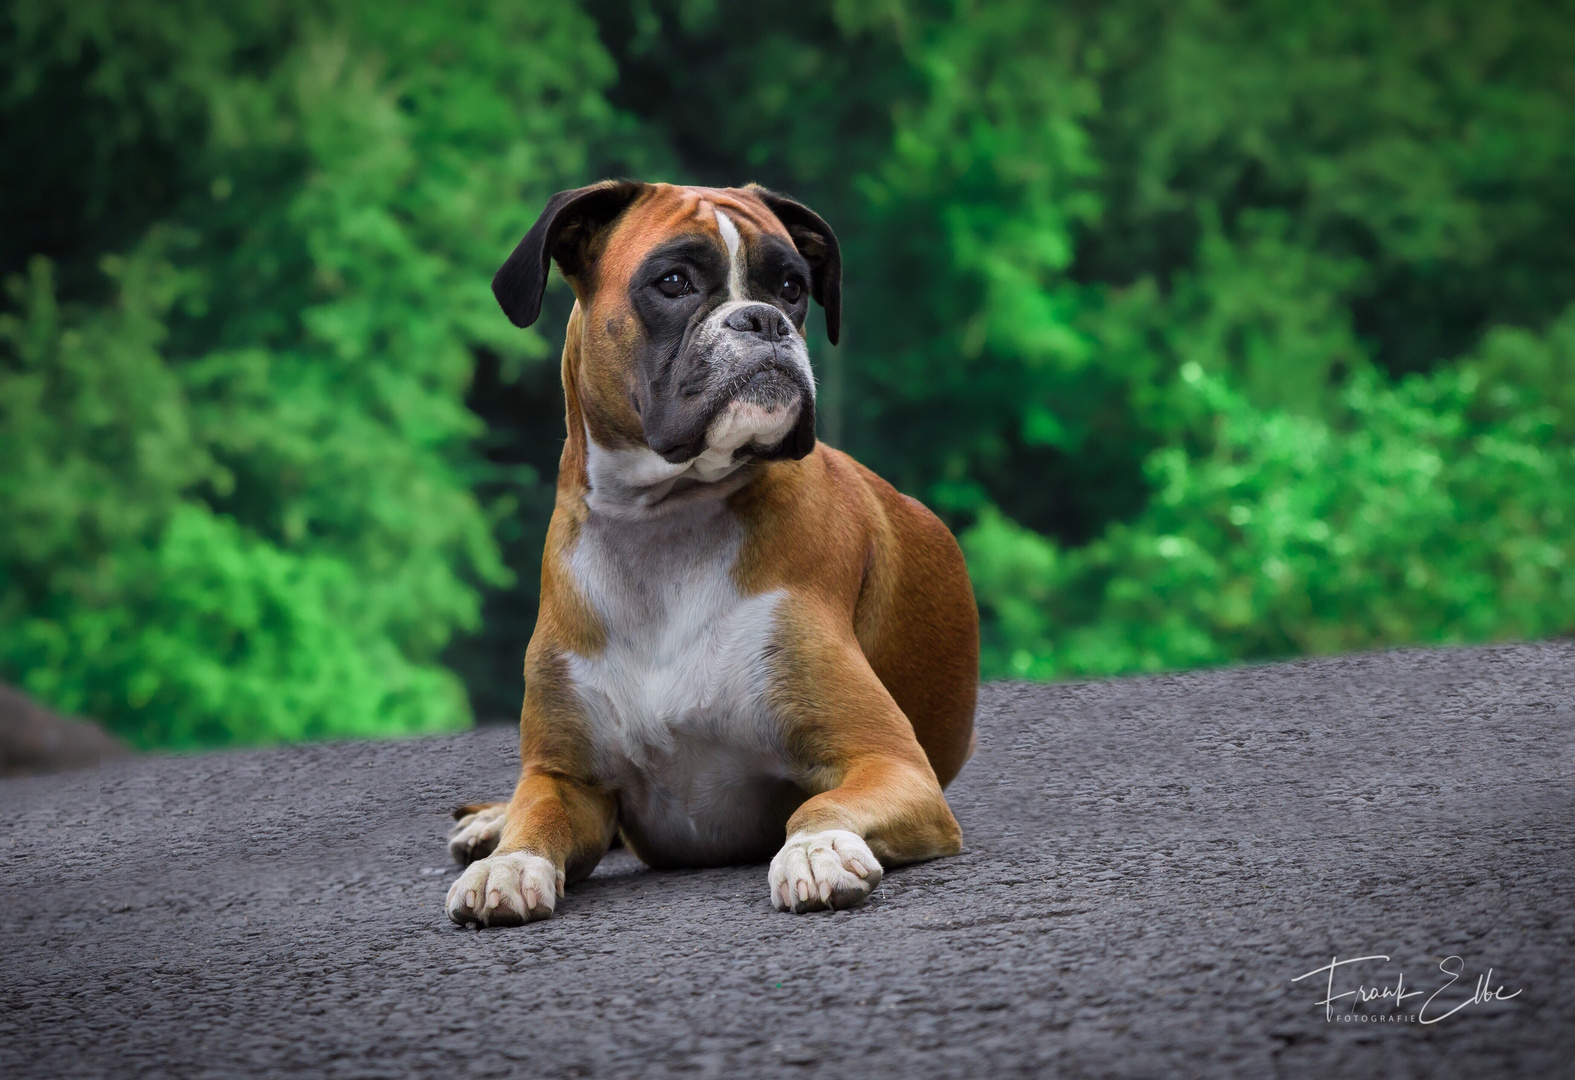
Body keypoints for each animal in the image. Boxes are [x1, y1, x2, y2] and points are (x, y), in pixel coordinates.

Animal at [444, 181, 976, 925]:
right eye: (673, 282)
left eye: (792, 288)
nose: (765, 321)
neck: (664, 523)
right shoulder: (567, 778)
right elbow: (538, 813)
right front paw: (509, 861)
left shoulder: (890, 763)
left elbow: (818, 805)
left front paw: (816, 850)